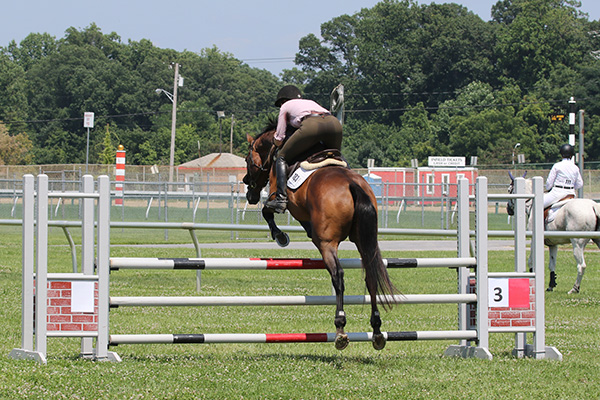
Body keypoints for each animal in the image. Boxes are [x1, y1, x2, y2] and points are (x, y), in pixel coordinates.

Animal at [241, 121, 396, 350]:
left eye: (247, 160)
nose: (249, 193)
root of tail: (353, 185)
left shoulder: (279, 199)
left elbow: (268, 211)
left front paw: (280, 236)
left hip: (326, 243)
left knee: (338, 275)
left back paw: (340, 328)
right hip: (364, 240)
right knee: (370, 276)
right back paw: (376, 331)